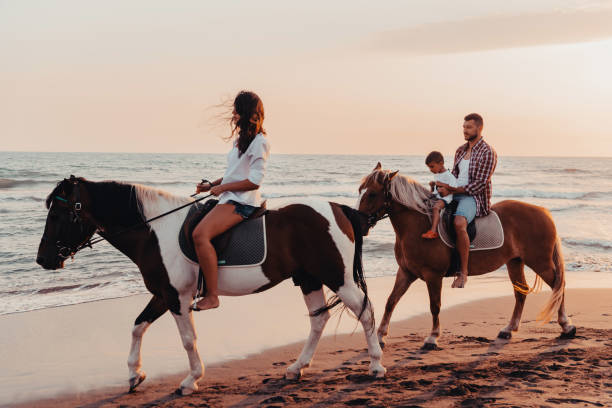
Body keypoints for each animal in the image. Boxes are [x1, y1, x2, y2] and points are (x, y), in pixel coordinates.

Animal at [37, 176, 382, 396]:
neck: (154, 231)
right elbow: (137, 326)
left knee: (365, 312)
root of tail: (337, 209)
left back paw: (376, 365)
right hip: (308, 278)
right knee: (318, 320)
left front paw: (191, 380)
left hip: (337, 277)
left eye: (58, 214)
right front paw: (135, 374)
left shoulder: (177, 297)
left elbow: (188, 339)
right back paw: (297, 367)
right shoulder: (163, 294)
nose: (43, 259)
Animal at [356, 164, 576, 350]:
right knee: (521, 293)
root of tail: (543, 212)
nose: (359, 223)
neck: (418, 226)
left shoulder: (433, 275)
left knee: (558, 285)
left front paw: (432, 338)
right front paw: (380, 337)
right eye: (360, 191)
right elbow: (391, 301)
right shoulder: (406, 272)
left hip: (540, 262)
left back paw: (567, 326)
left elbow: (434, 306)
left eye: (372, 194)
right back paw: (508, 329)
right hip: (515, 262)